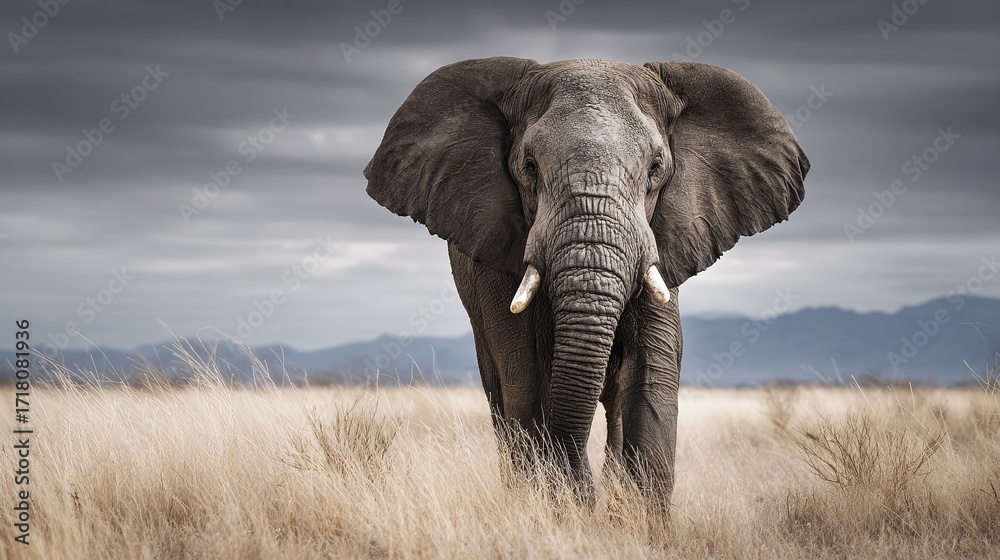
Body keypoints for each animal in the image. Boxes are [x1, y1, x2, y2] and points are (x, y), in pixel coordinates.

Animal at [364, 57, 809, 506]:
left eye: (656, 168)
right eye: (529, 167)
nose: (587, 495)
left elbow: (650, 371)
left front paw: (631, 515)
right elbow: (528, 377)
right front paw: (562, 502)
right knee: (501, 397)